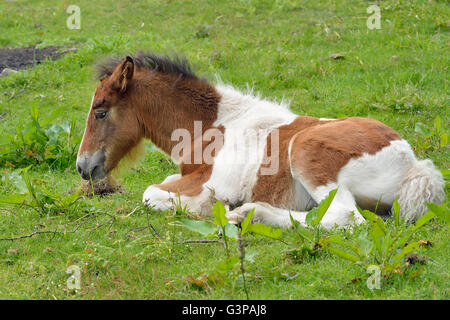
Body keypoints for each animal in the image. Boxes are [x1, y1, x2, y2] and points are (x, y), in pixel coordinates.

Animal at [75, 52, 444, 229]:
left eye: (100, 111)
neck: (212, 127)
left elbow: (151, 194)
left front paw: (206, 207)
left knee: (342, 218)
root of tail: (413, 166)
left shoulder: (211, 181)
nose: (82, 166)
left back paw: (248, 214)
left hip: (306, 153)